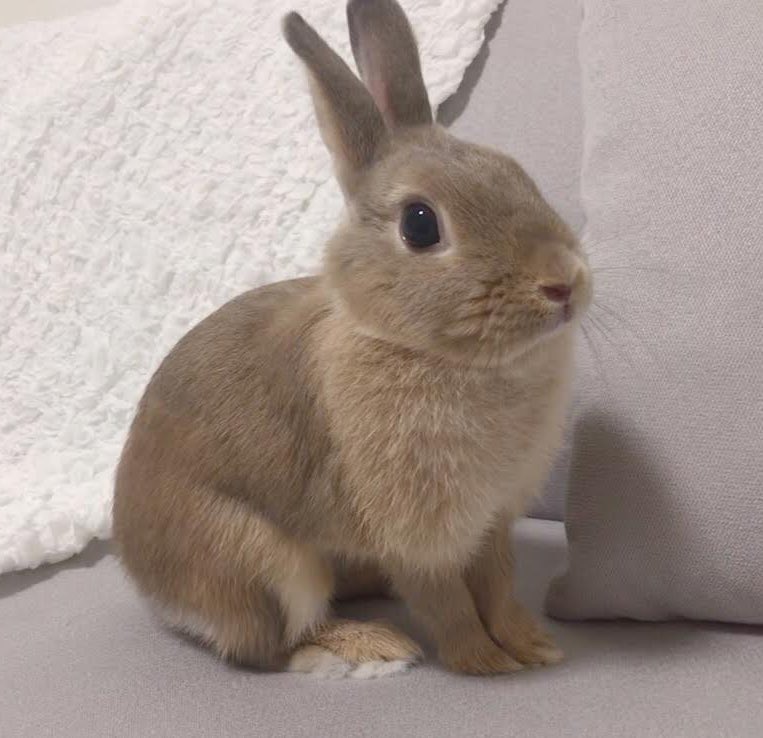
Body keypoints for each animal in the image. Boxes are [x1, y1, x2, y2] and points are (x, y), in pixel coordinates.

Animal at [112, 0, 592, 677]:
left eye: (514, 171)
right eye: (420, 225)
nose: (563, 282)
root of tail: (148, 584)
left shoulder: (491, 522)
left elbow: (498, 588)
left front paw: (532, 646)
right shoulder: (417, 536)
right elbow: (448, 603)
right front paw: (483, 663)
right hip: (263, 563)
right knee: (265, 647)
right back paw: (368, 646)